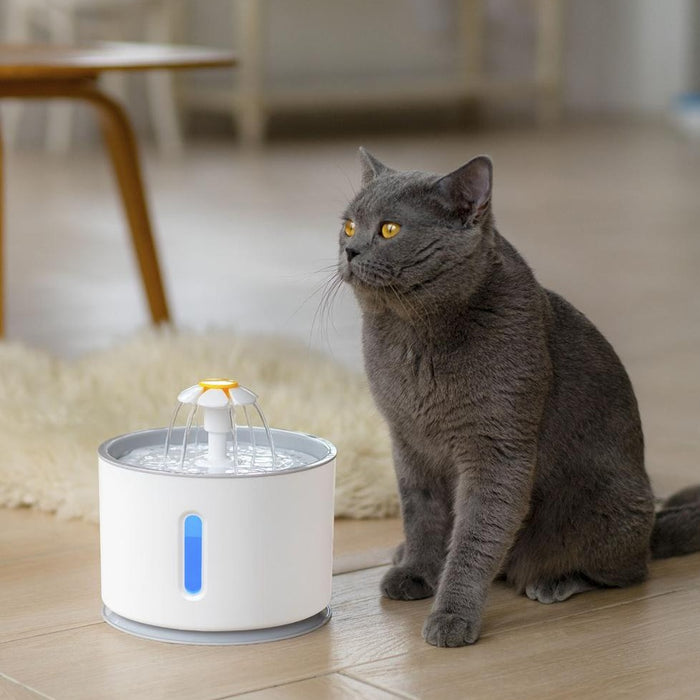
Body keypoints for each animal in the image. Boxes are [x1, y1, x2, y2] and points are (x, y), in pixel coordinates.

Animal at [338, 150, 700, 648]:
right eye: (349, 225)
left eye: (389, 229)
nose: (349, 251)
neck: (412, 337)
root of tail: (650, 525)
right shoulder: (408, 443)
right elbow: (421, 514)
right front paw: (416, 571)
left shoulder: (498, 449)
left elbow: (476, 539)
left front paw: (451, 617)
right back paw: (401, 554)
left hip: (605, 503)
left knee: (627, 571)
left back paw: (555, 580)